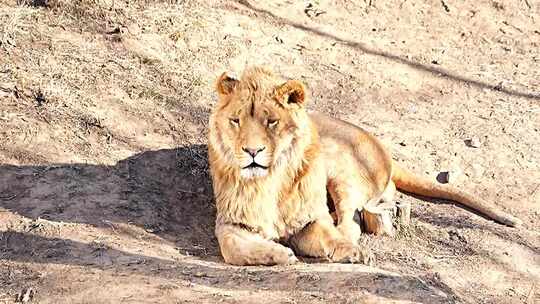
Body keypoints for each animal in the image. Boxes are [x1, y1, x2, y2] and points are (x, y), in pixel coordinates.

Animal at [206, 66, 520, 266]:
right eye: (236, 120)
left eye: (271, 121)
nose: (252, 151)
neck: (270, 180)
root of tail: (384, 148)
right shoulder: (231, 223)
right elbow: (233, 248)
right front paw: (278, 254)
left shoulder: (311, 218)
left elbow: (329, 234)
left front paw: (351, 252)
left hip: (340, 168)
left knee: (351, 219)